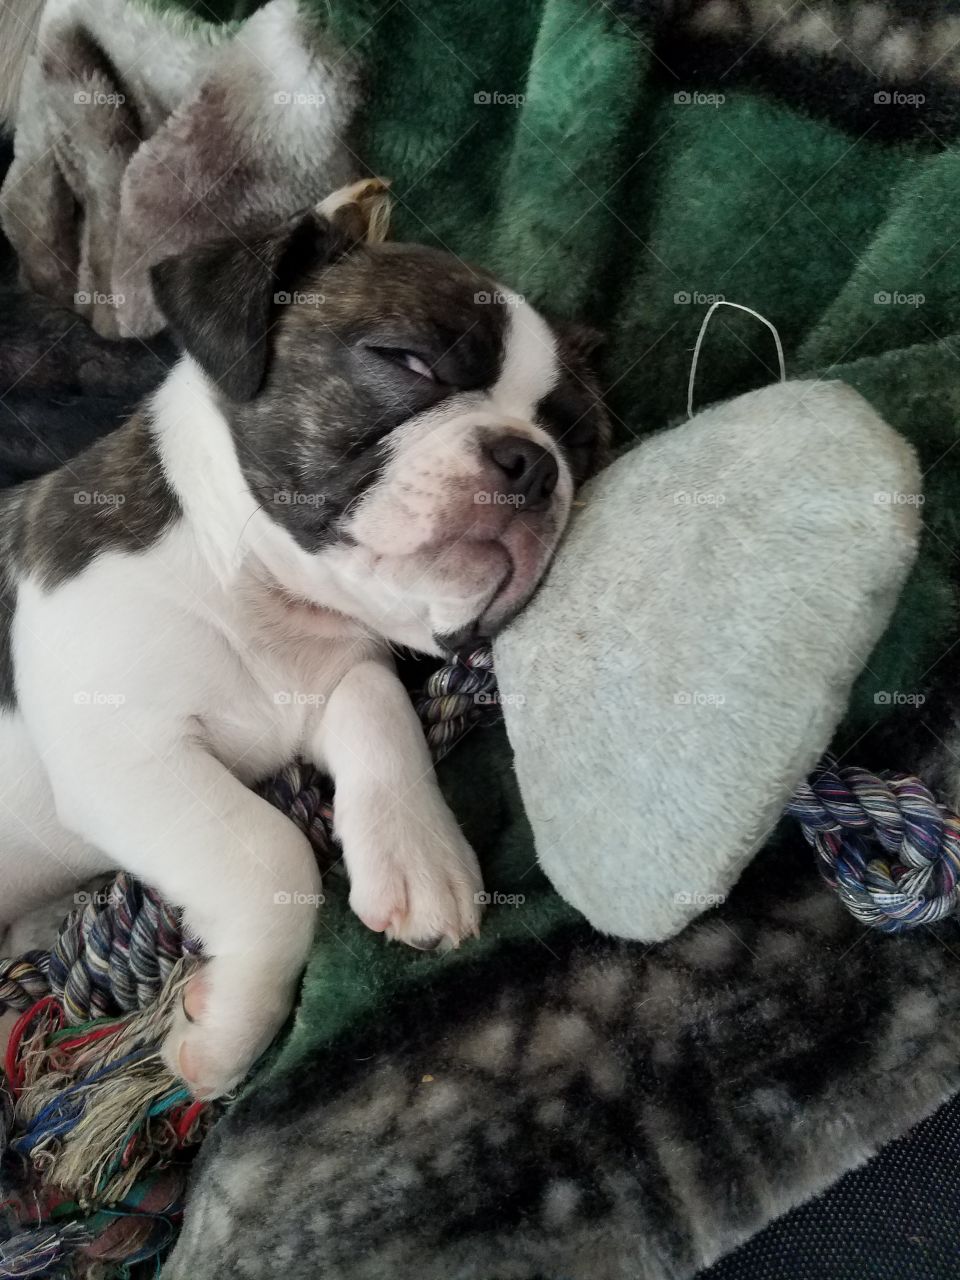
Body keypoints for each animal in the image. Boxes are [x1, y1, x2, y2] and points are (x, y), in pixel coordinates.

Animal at [0, 180, 609, 1100]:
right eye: (409, 361)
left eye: (572, 438)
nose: (534, 461)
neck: (268, 596)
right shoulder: (123, 750)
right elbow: (269, 855)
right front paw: (228, 1029)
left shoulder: (337, 675)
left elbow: (381, 710)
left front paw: (418, 852)